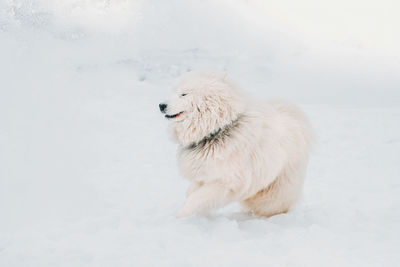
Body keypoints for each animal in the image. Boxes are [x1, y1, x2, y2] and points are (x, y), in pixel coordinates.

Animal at [160, 73, 316, 218]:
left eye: (183, 94)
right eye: (175, 91)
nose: (161, 105)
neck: (218, 131)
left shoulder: (226, 182)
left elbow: (197, 198)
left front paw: (181, 216)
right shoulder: (204, 173)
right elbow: (192, 193)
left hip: (274, 191)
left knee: (274, 204)